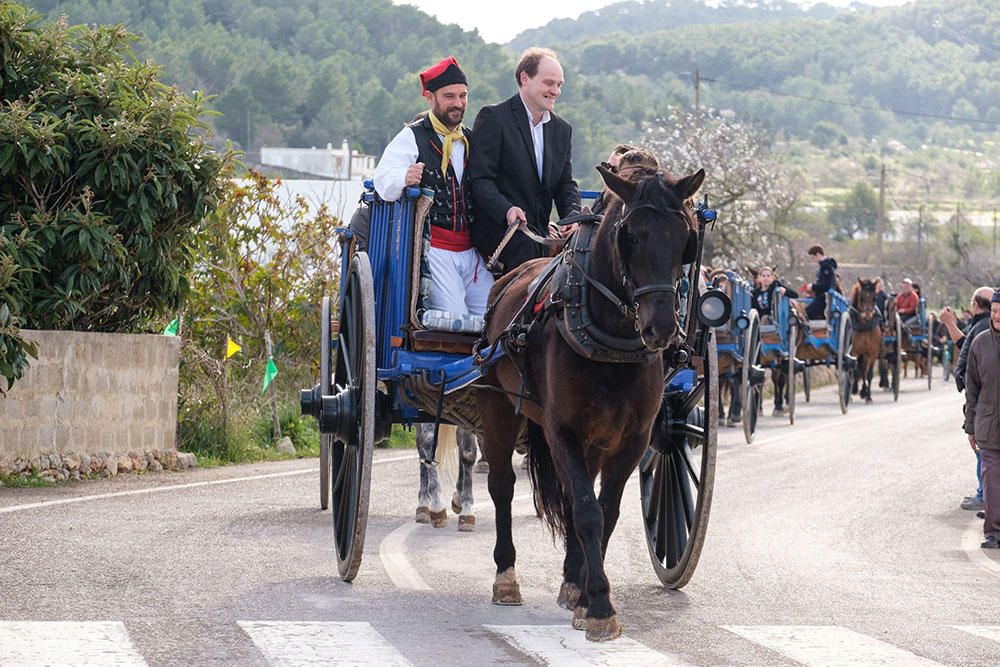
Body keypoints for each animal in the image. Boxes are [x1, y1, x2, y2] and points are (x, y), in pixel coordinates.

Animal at [476, 162, 704, 640]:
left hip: (595, 440)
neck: (611, 339)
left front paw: (584, 594)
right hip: (498, 406)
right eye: (629, 236)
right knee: (503, 485)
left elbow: (606, 511)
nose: (660, 328)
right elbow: (586, 512)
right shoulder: (562, 430)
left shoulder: (632, 438)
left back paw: (570, 580)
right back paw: (506, 577)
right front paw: (599, 605)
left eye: (685, 237)